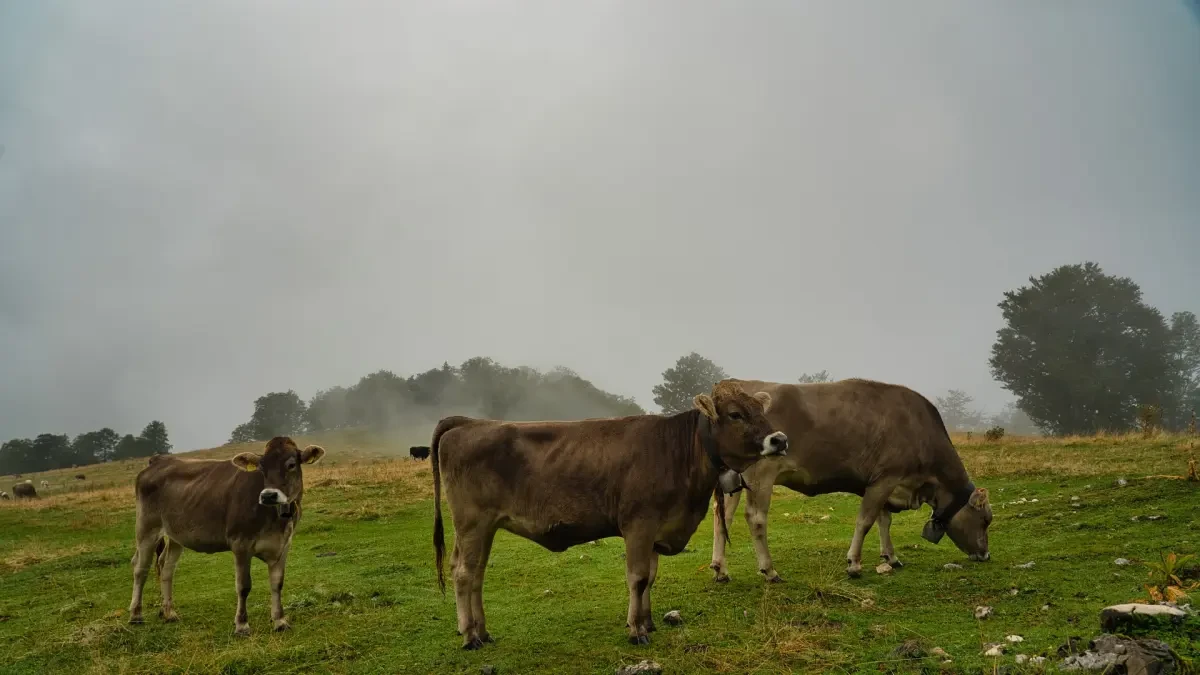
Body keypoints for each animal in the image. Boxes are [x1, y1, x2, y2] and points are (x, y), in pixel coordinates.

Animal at [128, 436, 326, 635]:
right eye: (261, 467)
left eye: (291, 465)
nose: (268, 495)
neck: (276, 519)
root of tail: (159, 460)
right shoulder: (240, 543)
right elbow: (243, 586)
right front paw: (242, 624)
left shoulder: (283, 545)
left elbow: (277, 583)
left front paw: (280, 621)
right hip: (147, 528)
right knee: (140, 568)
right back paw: (136, 615)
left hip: (176, 534)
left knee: (166, 567)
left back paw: (169, 613)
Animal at [431, 380, 790, 649]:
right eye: (735, 414)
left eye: (762, 411)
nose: (780, 439)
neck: (676, 453)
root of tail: (469, 422)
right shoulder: (639, 525)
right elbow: (637, 577)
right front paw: (636, 630)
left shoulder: (657, 530)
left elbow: (651, 578)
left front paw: (648, 621)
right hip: (472, 523)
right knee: (464, 573)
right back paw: (470, 636)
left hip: (484, 527)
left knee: (475, 573)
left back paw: (482, 630)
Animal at [709, 378, 992, 581]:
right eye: (985, 520)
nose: (986, 555)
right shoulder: (885, 479)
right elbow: (865, 521)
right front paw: (854, 564)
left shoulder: (882, 484)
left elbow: (884, 521)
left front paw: (890, 556)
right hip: (761, 475)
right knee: (755, 519)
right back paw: (769, 570)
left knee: (723, 516)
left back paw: (721, 569)